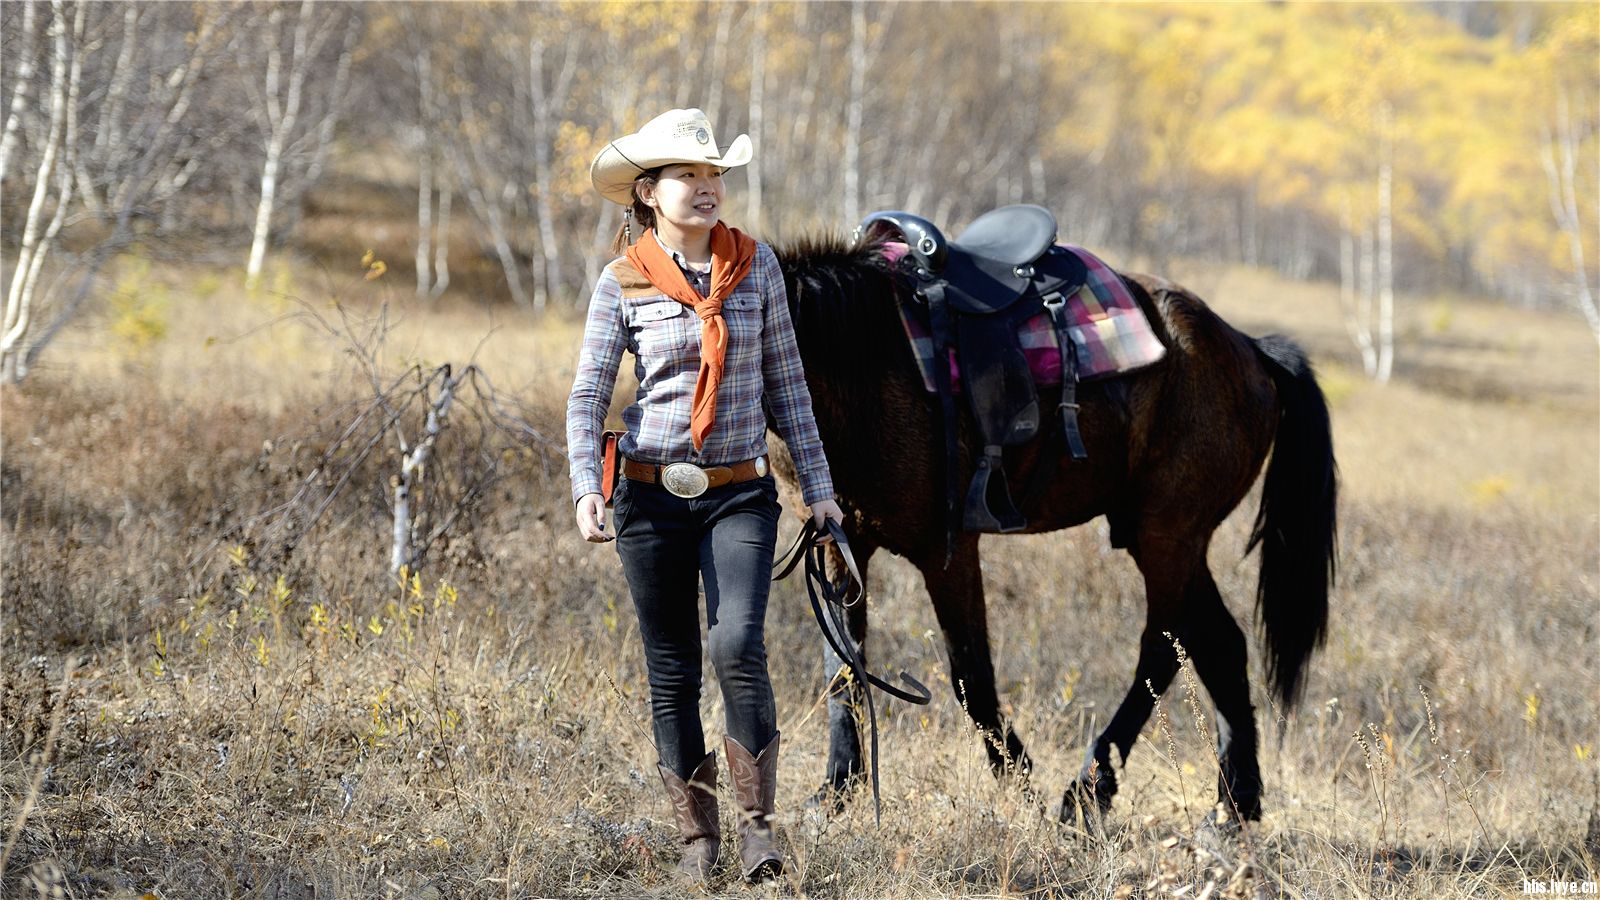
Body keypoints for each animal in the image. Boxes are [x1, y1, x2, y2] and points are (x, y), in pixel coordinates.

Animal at [761, 232, 1337, 819]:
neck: (867, 362)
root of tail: (1251, 350)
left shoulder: (948, 552)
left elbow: (970, 674)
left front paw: (1019, 779)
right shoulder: (839, 542)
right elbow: (843, 665)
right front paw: (835, 788)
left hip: (1168, 535)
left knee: (1161, 648)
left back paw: (1089, 789)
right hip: (1168, 538)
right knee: (1220, 644)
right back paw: (1232, 807)